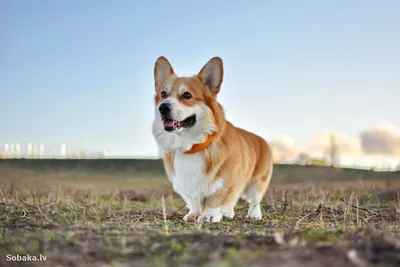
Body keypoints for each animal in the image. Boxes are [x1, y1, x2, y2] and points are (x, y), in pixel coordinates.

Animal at [152, 56, 274, 224]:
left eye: (187, 95)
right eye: (163, 94)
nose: (163, 108)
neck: (191, 146)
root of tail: (261, 139)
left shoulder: (225, 179)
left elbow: (216, 198)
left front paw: (210, 215)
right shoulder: (186, 184)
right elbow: (194, 201)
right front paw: (194, 214)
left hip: (258, 181)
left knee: (255, 199)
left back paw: (254, 215)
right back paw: (227, 213)